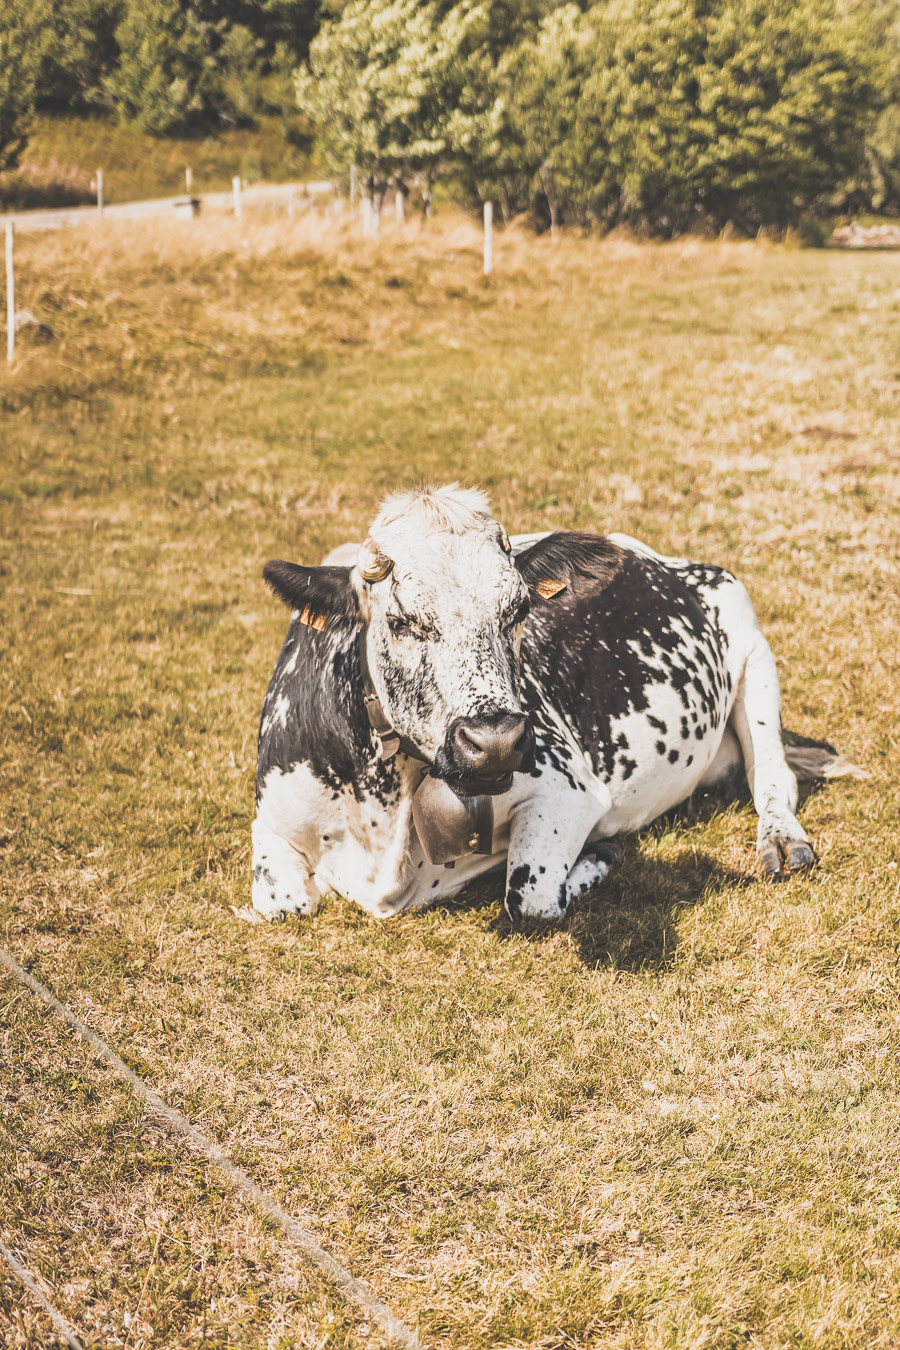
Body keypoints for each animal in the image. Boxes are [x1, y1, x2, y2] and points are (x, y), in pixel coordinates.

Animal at [249, 480, 863, 923]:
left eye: (518, 609)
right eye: (400, 622)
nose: (495, 742)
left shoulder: (566, 790)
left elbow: (534, 898)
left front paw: (601, 853)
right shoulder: (270, 822)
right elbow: (282, 903)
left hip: (754, 649)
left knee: (773, 777)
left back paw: (782, 839)